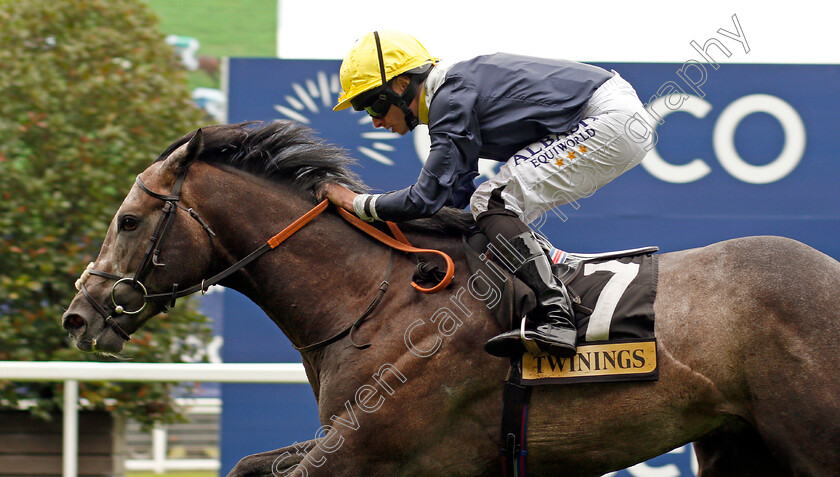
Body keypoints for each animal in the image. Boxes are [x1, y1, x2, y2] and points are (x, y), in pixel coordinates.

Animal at [60, 121, 840, 474]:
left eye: (128, 220)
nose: (79, 314)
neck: (374, 301)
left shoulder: (372, 449)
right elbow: (251, 464)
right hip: (736, 439)